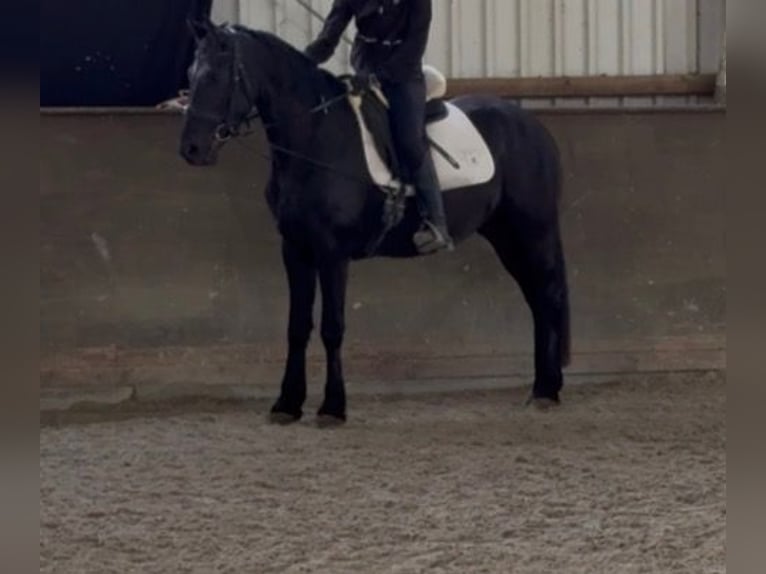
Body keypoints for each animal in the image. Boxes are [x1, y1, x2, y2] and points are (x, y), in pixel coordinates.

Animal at [179, 19, 570, 425]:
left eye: (216, 76)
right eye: (191, 75)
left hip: (533, 230)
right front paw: (287, 403)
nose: (192, 149)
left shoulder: (332, 253)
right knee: (537, 299)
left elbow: (332, 328)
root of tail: (531, 125)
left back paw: (546, 391)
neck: (317, 136)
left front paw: (332, 408)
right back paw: (543, 388)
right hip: (506, 235)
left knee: (549, 294)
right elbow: (297, 327)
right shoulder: (296, 249)